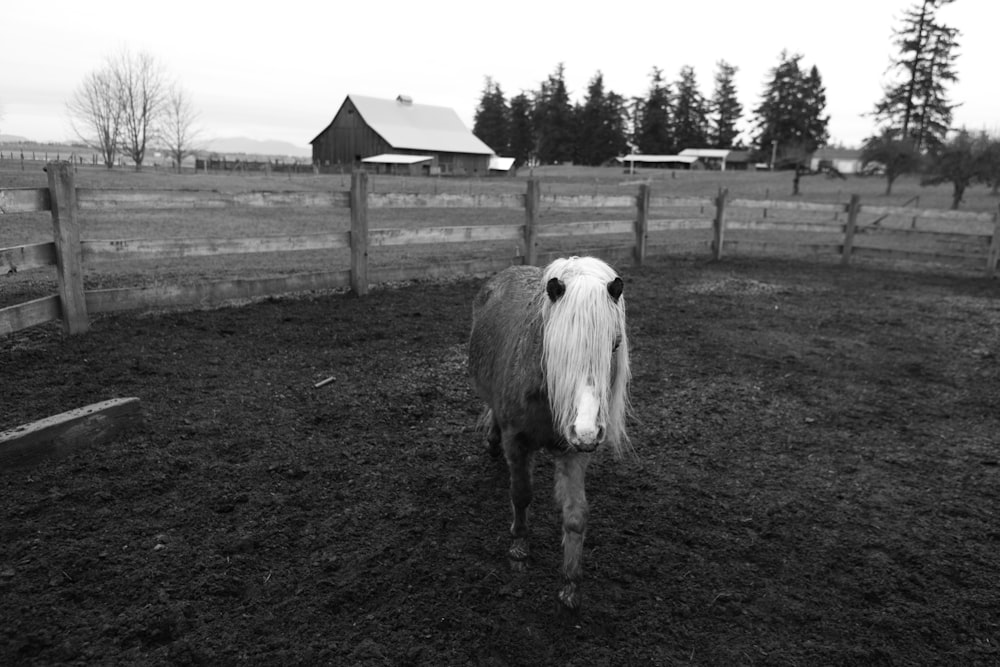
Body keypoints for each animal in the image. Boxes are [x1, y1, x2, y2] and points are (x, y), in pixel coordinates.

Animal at [466, 256, 624, 612]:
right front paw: (519, 548)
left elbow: (576, 515)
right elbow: (521, 493)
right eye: (559, 344)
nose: (587, 431)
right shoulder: (517, 441)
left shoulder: (574, 451)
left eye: (615, 344)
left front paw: (570, 584)